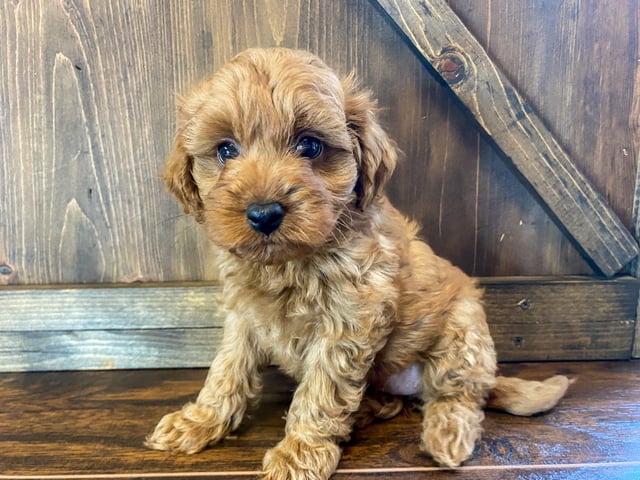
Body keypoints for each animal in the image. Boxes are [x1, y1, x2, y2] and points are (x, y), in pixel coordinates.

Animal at [146, 46, 568, 480]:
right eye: (225, 150)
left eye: (310, 146)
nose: (264, 214)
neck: (288, 262)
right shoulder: (244, 315)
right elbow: (227, 369)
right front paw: (200, 420)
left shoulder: (350, 318)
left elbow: (322, 388)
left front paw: (300, 452)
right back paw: (369, 408)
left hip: (464, 332)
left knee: (460, 393)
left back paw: (446, 435)